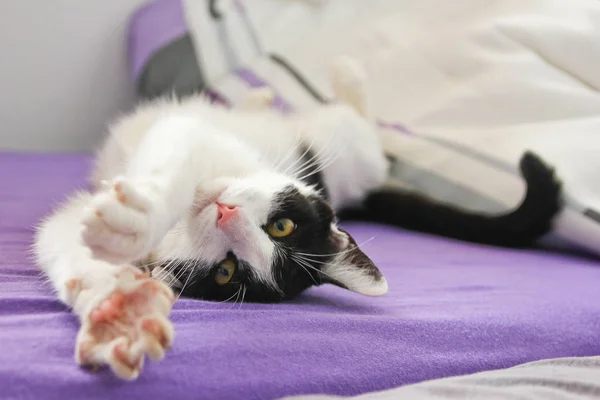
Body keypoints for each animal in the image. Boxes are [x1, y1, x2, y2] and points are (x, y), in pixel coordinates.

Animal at [34, 57, 564, 382]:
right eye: (282, 226)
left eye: (227, 271)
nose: (226, 213)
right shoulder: (206, 145)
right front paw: (116, 304)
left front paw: (122, 308)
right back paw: (268, 96)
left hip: (352, 151)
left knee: (363, 126)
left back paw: (343, 82)